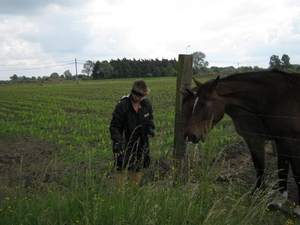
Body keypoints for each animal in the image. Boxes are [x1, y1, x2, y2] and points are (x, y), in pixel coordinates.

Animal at [184, 69, 300, 214]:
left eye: (203, 104)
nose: (190, 135)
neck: (279, 98)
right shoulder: (277, 139)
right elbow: (277, 167)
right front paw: (272, 198)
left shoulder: (276, 140)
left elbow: (294, 172)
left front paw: (297, 208)